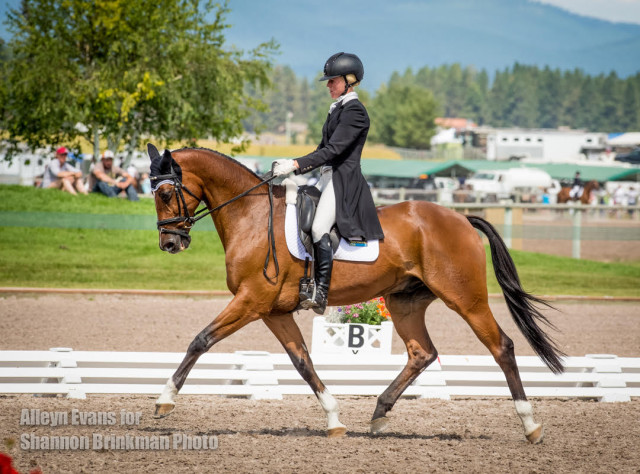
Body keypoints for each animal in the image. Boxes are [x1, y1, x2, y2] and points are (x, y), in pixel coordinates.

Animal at [148, 145, 564, 444]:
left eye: (166, 192)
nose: (169, 243)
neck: (251, 216)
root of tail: (461, 217)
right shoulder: (273, 311)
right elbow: (302, 362)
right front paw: (334, 418)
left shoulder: (250, 301)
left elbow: (201, 340)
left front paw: (165, 400)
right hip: (405, 301)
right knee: (422, 353)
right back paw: (379, 414)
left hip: (466, 299)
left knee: (502, 347)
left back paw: (530, 425)